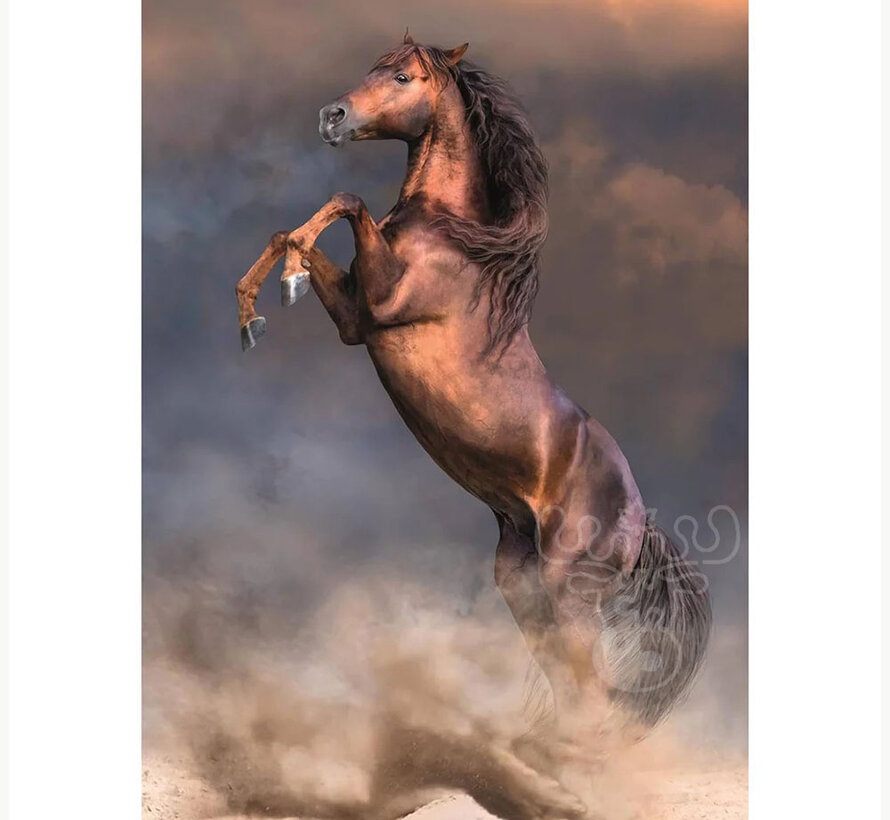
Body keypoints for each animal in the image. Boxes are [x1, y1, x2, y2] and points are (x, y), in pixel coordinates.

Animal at [235, 34, 711, 817]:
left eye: (403, 76)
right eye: (371, 66)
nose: (333, 117)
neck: (451, 239)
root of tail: (641, 523)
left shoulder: (381, 302)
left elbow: (346, 200)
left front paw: (283, 287)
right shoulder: (356, 319)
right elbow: (296, 230)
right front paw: (257, 307)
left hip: (570, 594)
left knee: (592, 697)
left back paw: (555, 779)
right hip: (524, 589)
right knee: (574, 695)